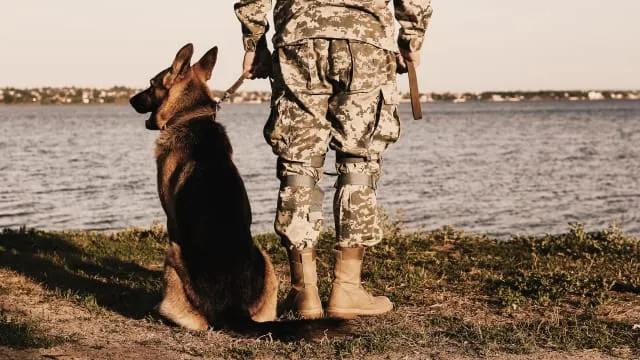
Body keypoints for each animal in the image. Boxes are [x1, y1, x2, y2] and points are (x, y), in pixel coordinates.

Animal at [129, 43, 278, 330]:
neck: (190, 116)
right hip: (266, 259)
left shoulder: (171, 219)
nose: (131, 100)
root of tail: (234, 309)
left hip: (172, 256)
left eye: (152, 85)